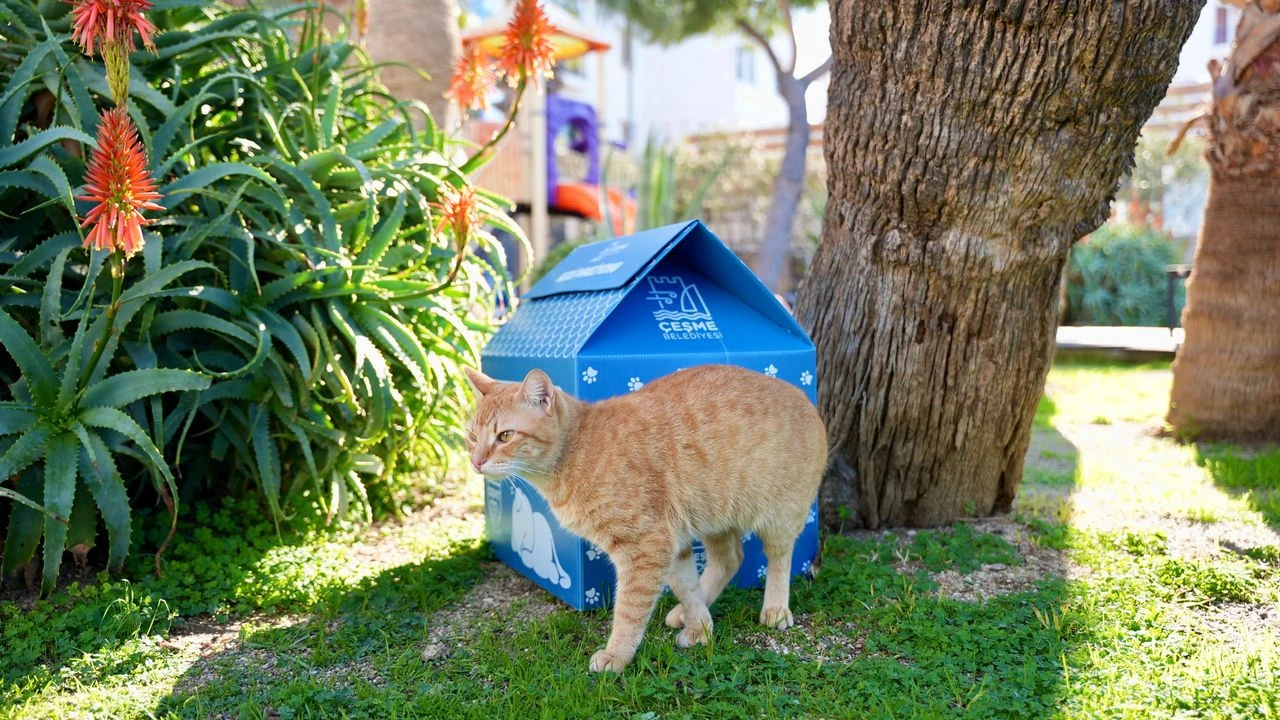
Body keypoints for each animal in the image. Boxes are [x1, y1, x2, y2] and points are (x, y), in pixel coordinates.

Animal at [465, 363, 824, 671]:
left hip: (778, 517)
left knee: (779, 560)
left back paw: (775, 609)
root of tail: (807, 399)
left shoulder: (646, 547)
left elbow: (629, 610)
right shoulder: (672, 544)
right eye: (472, 437)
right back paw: (686, 613)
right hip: (714, 517)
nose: (477, 462)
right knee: (730, 559)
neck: (578, 450)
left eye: (505, 436)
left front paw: (616, 655)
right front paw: (700, 627)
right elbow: (686, 586)